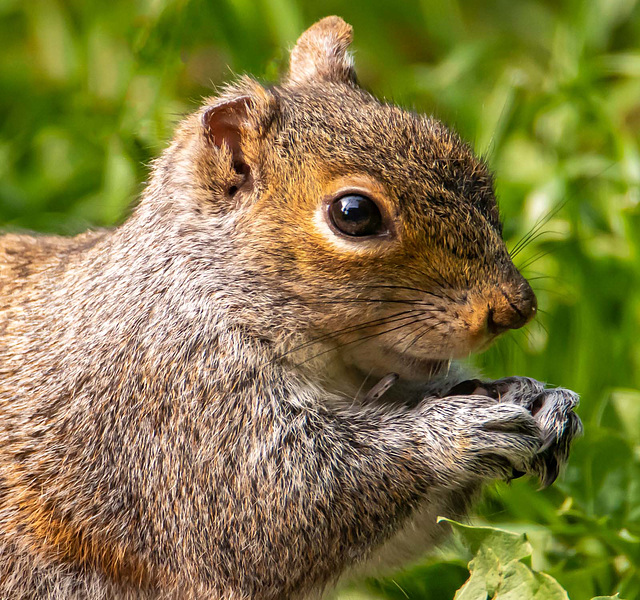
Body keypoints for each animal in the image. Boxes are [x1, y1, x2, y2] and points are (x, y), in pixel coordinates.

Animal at [0, 15, 580, 600]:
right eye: (354, 213)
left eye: (467, 160)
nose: (515, 310)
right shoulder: (171, 414)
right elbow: (276, 516)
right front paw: (456, 431)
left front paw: (538, 398)